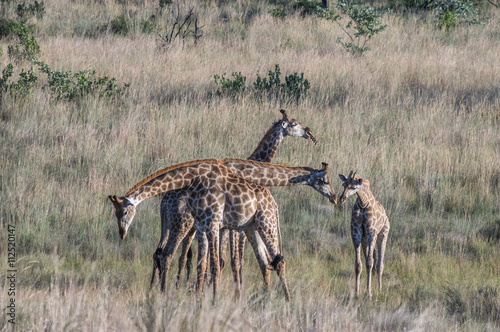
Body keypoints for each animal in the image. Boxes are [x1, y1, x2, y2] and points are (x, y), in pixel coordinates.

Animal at [109, 159, 290, 300]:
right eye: (115, 213)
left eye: (124, 212)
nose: (122, 234)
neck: (193, 179)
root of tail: (274, 203)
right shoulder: (202, 226)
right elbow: (201, 265)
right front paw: (198, 299)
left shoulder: (213, 223)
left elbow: (215, 264)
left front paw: (214, 300)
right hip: (252, 228)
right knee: (265, 263)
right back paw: (267, 298)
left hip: (267, 223)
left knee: (279, 262)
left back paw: (287, 300)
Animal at [160, 109, 316, 288]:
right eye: (293, 123)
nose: (309, 132)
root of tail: (164, 201)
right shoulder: (235, 226)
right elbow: (233, 260)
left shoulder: (233, 225)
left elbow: (230, 260)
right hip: (183, 224)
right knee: (169, 255)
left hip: (180, 226)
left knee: (170, 255)